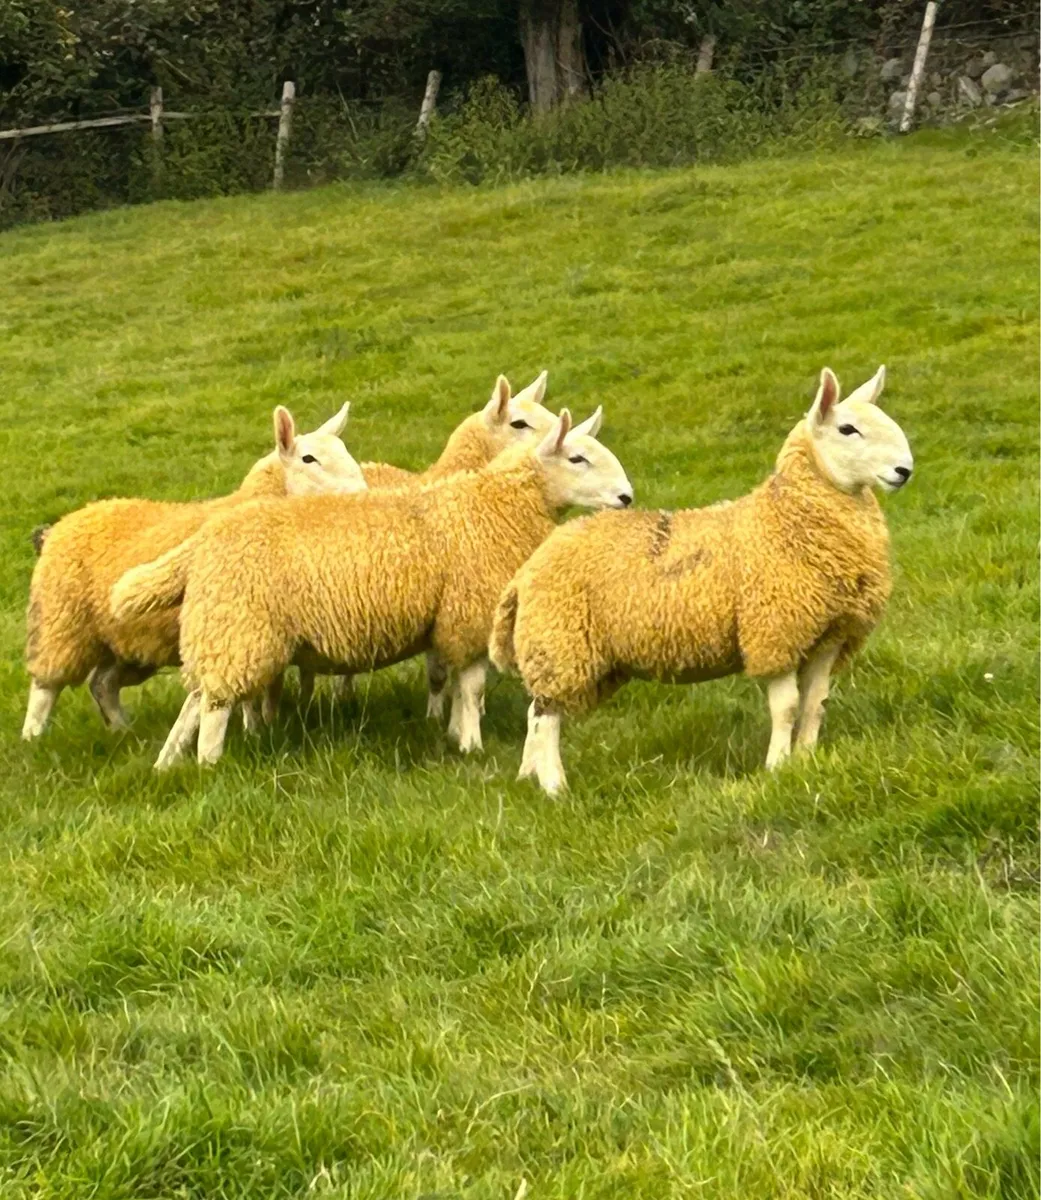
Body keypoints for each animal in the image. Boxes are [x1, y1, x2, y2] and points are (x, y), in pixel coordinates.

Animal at [22, 403, 366, 740]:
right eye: (309, 458)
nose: (362, 491)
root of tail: (63, 523)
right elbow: (251, 695)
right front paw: (254, 730)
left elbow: (267, 688)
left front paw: (264, 726)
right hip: (61, 623)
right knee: (44, 688)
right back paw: (33, 740)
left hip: (127, 640)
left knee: (102, 684)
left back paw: (125, 731)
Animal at [110, 408, 634, 768]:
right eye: (578, 457)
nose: (627, 497)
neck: (492, 504)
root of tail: (207, 536)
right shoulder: (466, 615)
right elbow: (471, 690)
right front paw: (470, 744)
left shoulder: (450, 622)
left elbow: (453, 685)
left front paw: (455, 737)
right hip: (241, 628)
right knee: (215, 710)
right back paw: (210, 766)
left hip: (222, 629)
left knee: (197, 701)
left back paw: (168, 764)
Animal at [489, 366, 914, 795]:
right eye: (848, 429)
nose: (904, 471)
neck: (785, 518)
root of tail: (528, 569)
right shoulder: (774, 633)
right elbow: (787, 707)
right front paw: (777, 768)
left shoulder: (829, 635)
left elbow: (815, 704)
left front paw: (806, 761)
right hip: (560, 640)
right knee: (547, 717)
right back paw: (554, 786)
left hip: (570, 651)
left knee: (537, 710)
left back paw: (530, 775)